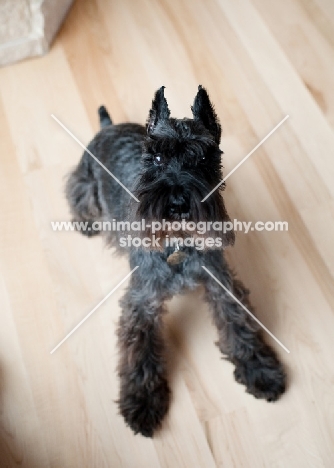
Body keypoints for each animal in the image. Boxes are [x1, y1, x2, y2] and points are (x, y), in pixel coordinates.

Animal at [66, 86, 288, 436]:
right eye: (156, 158)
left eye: (204, 157)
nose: (177, 203)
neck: (178, 245)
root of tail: (108, 126)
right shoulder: (142, 301)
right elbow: (139, 350)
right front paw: (142, 401)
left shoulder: (220, 284)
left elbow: (239, 325)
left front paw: (259, 369)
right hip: (85, 188)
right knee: (79, 199)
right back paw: (86, 225)